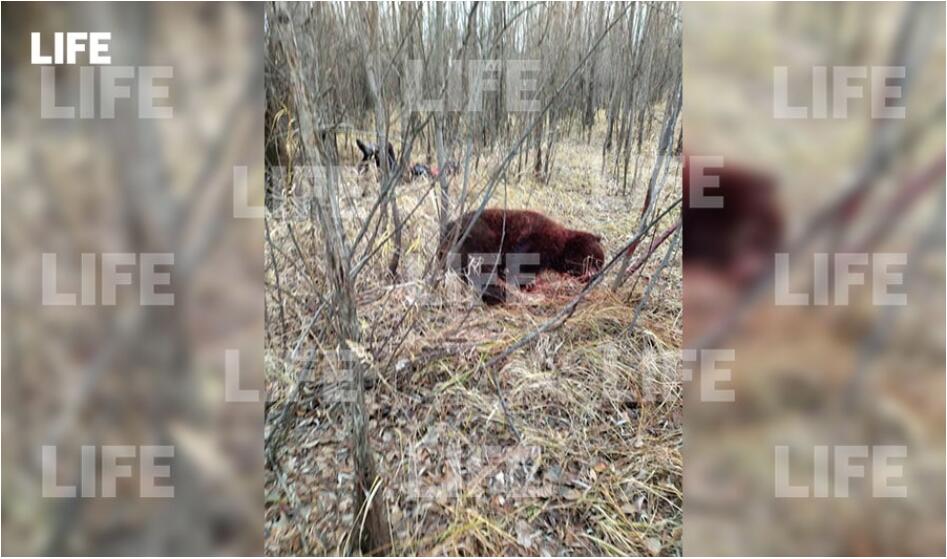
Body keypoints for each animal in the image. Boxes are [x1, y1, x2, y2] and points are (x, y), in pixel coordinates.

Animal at [440, 208, 605, 305]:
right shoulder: (534, 242)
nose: (596, 276)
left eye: (601, 264)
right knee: (482, 270)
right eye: (594, 261)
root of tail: (450, 227)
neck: (561, 245)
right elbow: (518, 264)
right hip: (478, 239)